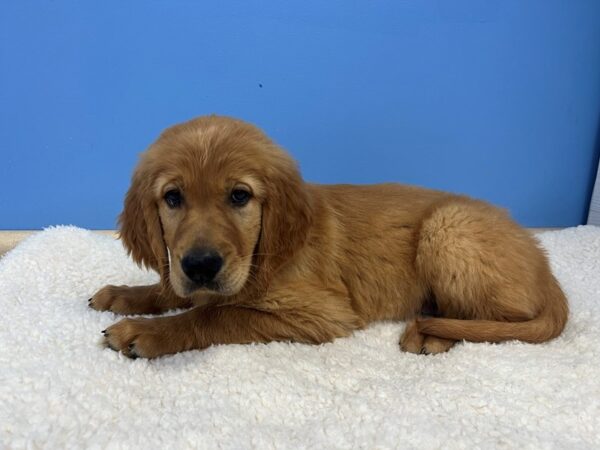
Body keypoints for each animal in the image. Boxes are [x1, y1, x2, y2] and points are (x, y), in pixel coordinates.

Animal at [89, 115, 568, 358]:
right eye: (173, 198)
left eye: (240, 195)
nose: (202, 265)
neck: (264, 256)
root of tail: (545, 265)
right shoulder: (192, 275)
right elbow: (177, 289)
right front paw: (124, 295)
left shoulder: (323, 314)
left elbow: (217, 314)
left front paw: (146, 333)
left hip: (448, 227)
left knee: (500, 319)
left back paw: (434, 334)